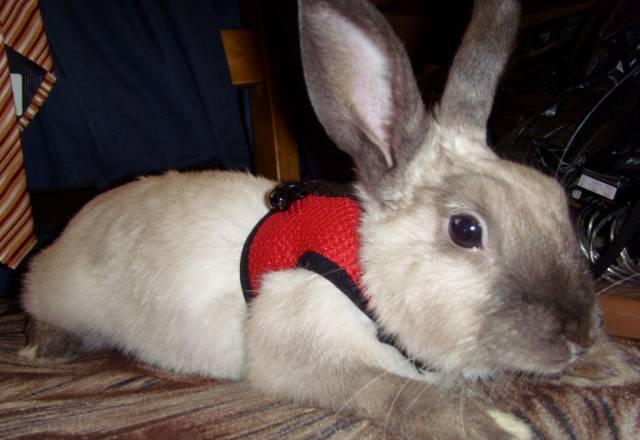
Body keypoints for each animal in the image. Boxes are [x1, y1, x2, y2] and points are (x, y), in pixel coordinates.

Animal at [19, 0, 601, 438]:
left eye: (557, 201)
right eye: (466, 229)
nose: (580, 337)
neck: (368, 272)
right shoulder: (305, 352)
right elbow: (400, 395)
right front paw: (502, 428)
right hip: (63, 293)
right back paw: (44, 349)